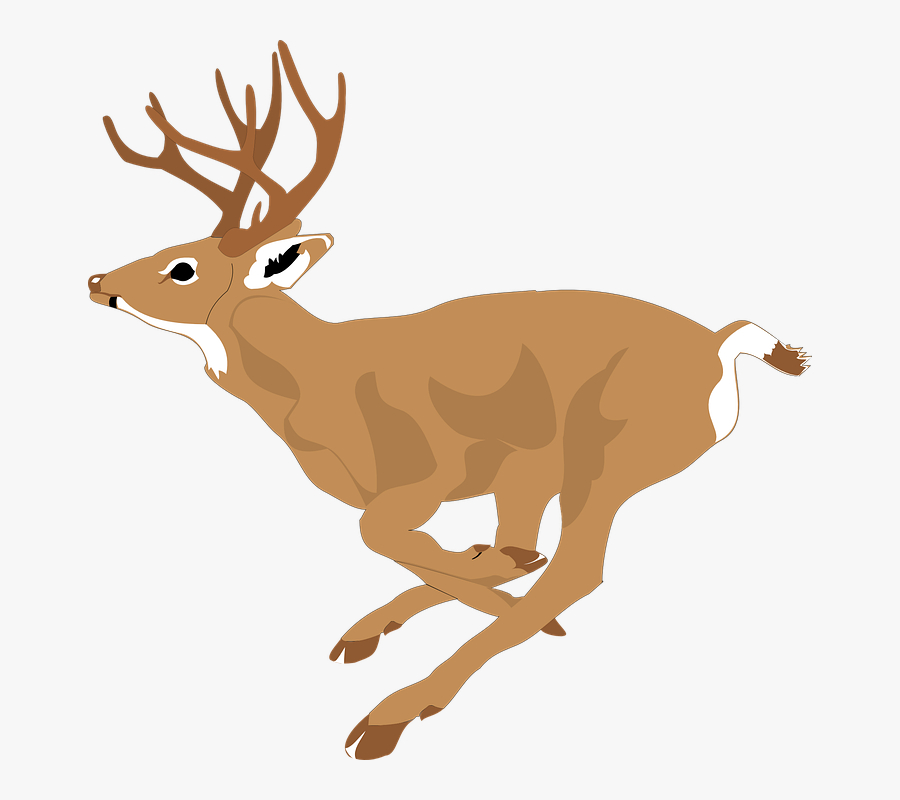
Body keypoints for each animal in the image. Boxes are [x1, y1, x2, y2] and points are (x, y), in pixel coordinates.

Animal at [87, 41, 810, 759]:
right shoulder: (484, 472)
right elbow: (442, 548)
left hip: (608, 449)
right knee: (530, 554)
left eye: (183, 267)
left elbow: (380, 532)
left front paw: (468, 590)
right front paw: (454, 576)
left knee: (575, 569)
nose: (96, 280)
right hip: (542, 466)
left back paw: (392, 714)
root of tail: (718, 347)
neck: (314, 381)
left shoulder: (433, 466)